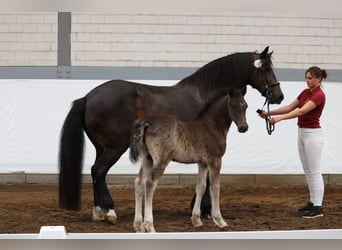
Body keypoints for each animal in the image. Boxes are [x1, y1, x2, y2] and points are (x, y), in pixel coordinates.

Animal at [130, 88, 247, 232]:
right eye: (233, 106)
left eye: (245, 106)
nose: (244, 127)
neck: (212, 126)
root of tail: (148, 123)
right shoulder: (215, 160)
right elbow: (215, 187)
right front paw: (219, 220)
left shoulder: (202, 163)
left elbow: (201, 186)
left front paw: (196, 220)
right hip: (161, 161)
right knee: (149, 184)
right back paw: (149, 226)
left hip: (148, 159)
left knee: (138, 182)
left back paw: (138, 226)